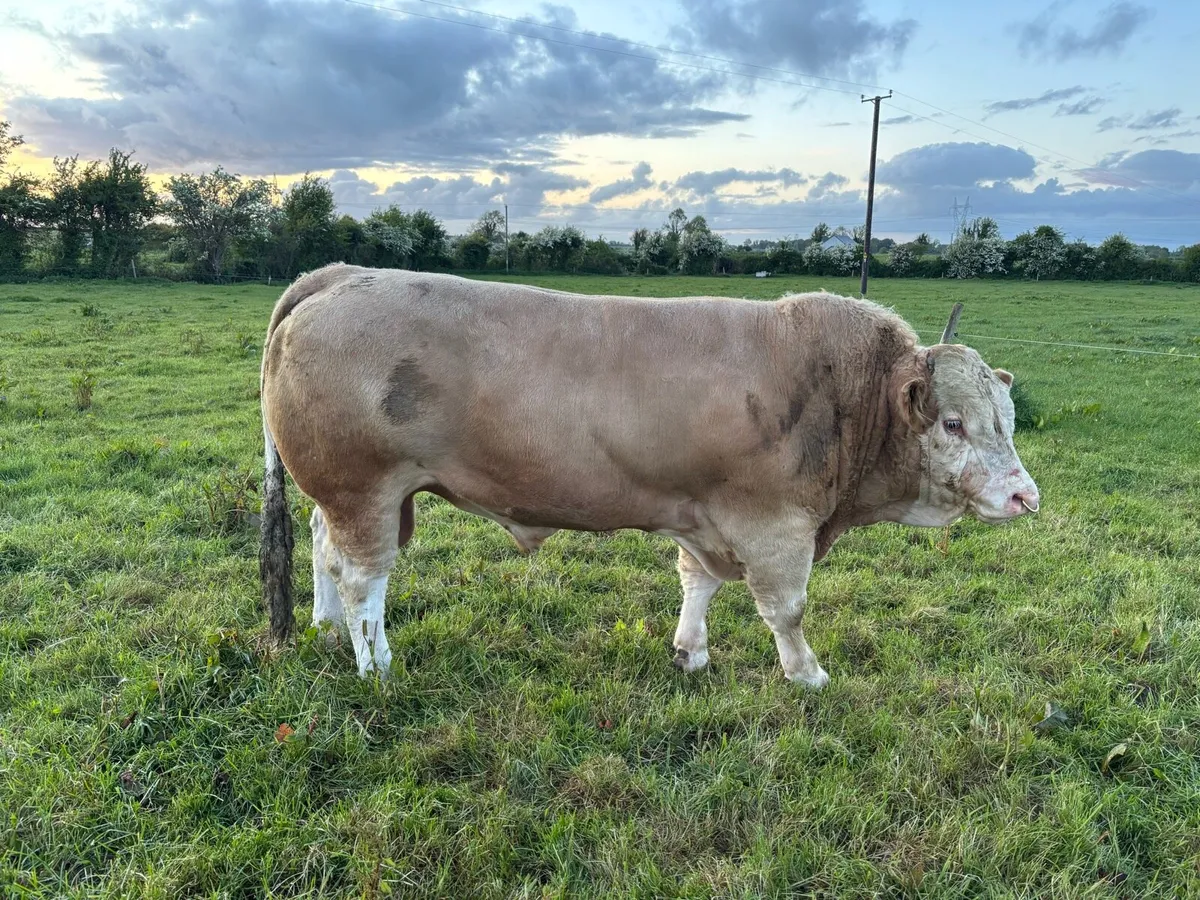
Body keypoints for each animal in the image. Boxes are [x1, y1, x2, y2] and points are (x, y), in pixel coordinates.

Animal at [259, 263, 1038, 686]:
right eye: (954, 423)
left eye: (1008, 416)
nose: (1024, 495)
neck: (849, 394)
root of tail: (339, 276)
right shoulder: (775, 524)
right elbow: (786, 609)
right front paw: (807, 674)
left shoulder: (703, 515)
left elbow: (698, 584)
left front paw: (690, 653)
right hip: (364, 488)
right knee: (363, 576)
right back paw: (375, 664)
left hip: (343, 495)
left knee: (324, 550)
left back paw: (328, 632)